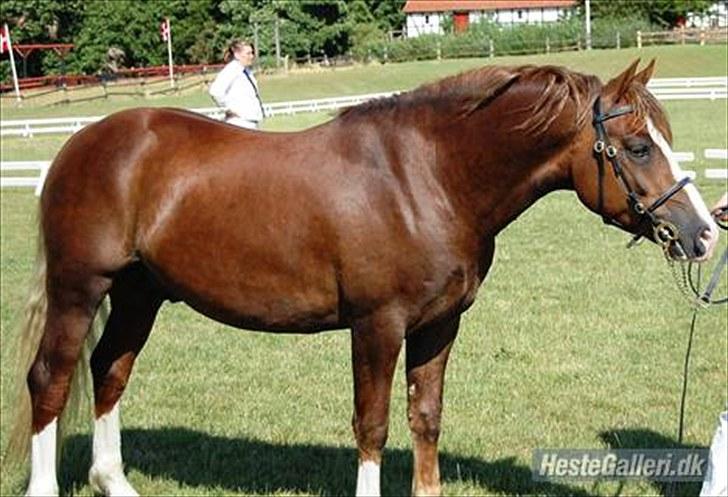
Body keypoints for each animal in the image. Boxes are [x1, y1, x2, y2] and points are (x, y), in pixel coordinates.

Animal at [6, 59, 719, 496]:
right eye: (638, 147)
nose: (704, 232)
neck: (428, 177)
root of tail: (83, 144)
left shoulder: (439, 325)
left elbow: (425, 417)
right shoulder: (378, 325)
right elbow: (371, 424)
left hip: (139, 294)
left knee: (110, 373)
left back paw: (115, 482)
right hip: (79, 289)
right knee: (52, 379)